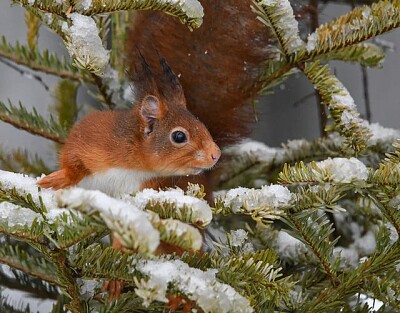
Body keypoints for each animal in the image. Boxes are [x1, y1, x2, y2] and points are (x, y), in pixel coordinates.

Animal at [36, 54, 222, 194]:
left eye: (201, 124)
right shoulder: (89, 137)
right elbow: (72, 159)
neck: (136, 166)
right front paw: (60, 178)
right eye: (179, 136)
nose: (216, 154)